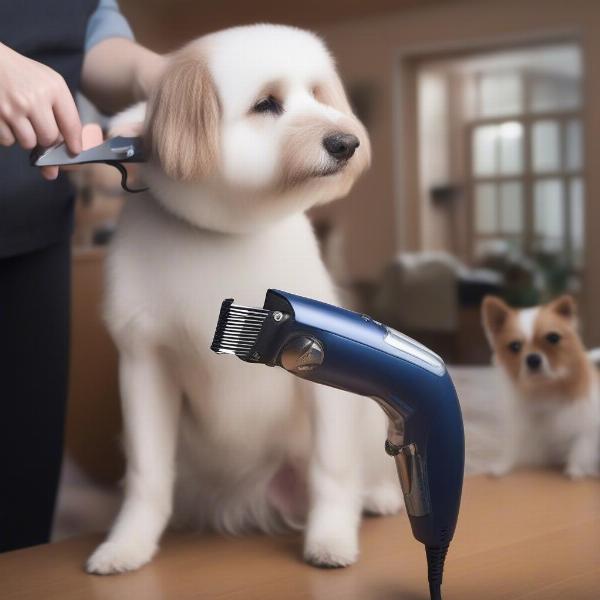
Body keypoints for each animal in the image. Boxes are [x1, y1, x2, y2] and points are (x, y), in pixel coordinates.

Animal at [85, 24, 404, 576]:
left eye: (318, 94)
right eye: (266, 104)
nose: (347, 142)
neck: (229, 233)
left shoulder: (321, 372)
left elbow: (333, 468)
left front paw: (331, 537)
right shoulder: (144, 364)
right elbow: (148, 476)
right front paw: (128, 543)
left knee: (360, 466)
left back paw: (379, 495)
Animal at [480, 294, 600, 478]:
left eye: (553, 338)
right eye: (515, 346)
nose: (533, 359)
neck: (545, 389)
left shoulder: (587, 429)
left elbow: (579, 451)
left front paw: (575, 472)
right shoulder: (521, 432)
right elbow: (512, 450)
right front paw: (501, 467)